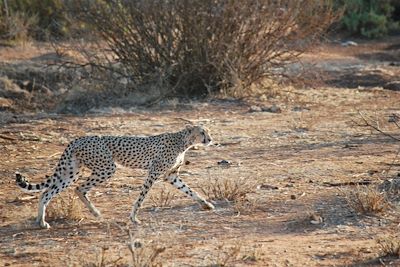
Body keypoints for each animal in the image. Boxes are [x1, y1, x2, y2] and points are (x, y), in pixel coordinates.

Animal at [16, 124, 216, 229]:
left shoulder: (171, 176)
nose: (210, 139)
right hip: (107, 167)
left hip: (71, 172)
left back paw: (41, 221)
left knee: (47, 192)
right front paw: (134, 218)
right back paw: (94, 213)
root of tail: (78, 138)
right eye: (202, 132)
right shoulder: (153, 173)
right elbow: (141, 197)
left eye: (207, 131)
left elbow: (189, 190)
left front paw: (206, 204)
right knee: (79, 188)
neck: (183, 142)